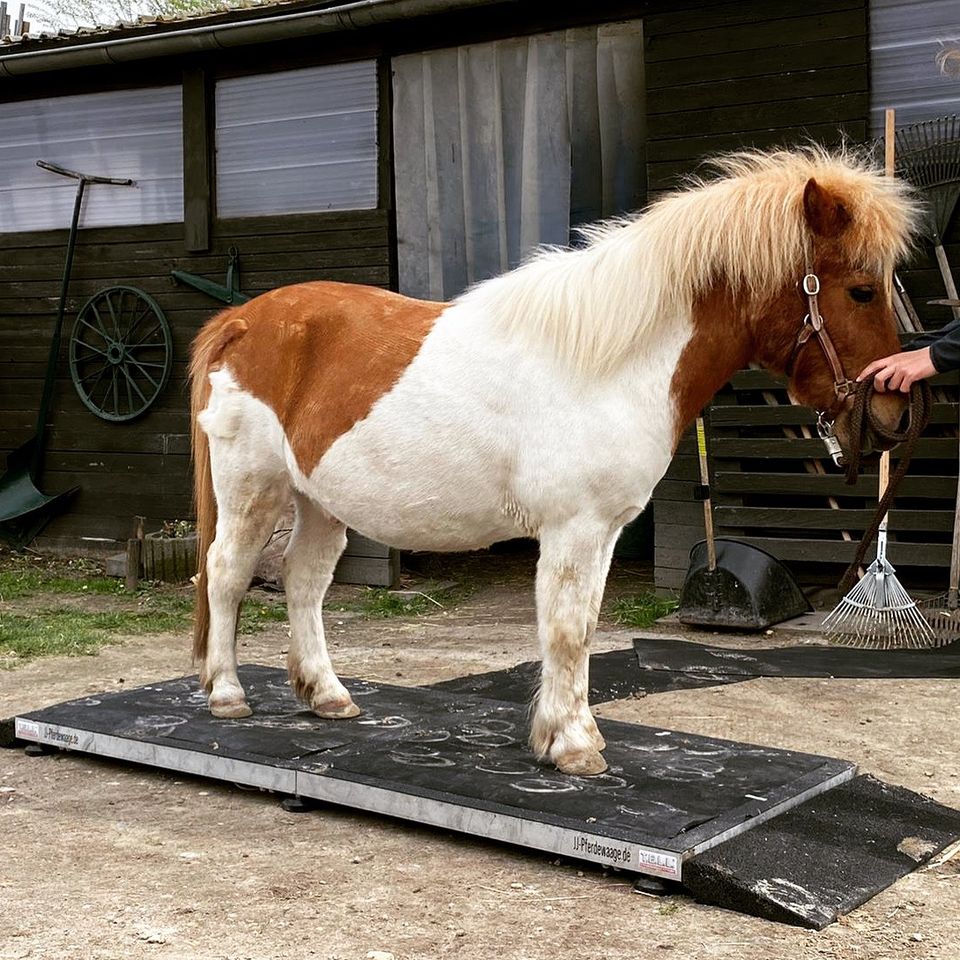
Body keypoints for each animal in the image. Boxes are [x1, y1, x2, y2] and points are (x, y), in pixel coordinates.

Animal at [188, 152, 916, 780]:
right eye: (860, 290)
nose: (891, 411)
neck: (611, 361)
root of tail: (239, 321)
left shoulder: (603, 532)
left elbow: (586, 626)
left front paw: (572, 733)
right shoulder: (574, 528)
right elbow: (565, 630)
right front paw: (570, 745)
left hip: (319, 501)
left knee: (304, 583)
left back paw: (328, 695)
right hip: (254, 489)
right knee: (225, 573)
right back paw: (226, 693)